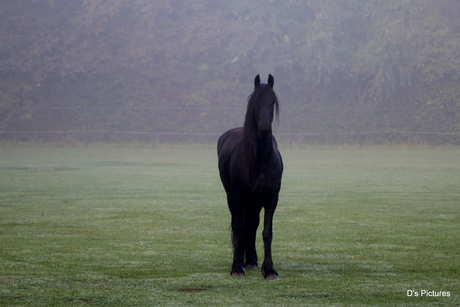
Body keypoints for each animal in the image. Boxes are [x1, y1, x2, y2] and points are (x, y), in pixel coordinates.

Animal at [217, 74, 282, 282]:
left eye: (272, 102)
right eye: (254, 103)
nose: (264, 129)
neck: (260, 159)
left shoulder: (271, 199)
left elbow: (267, 232)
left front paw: (269, 270)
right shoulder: (238, 197)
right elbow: (239, 229)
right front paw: (237, 267)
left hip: (254, 202)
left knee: (252, 225)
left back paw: (251, 260)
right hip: (236, 199)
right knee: (242, 225)